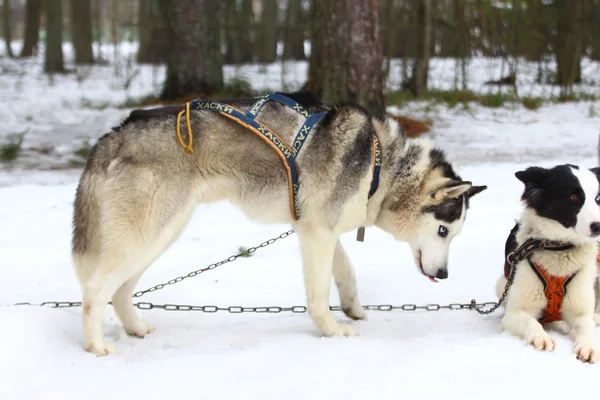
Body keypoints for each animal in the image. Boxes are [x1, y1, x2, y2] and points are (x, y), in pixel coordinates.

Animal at [71, 91, 488, 356]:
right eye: (443, 231)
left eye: (453, 234)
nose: (445, 274)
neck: (381, 165)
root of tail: (116, 132)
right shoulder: (318, 234)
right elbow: (318, 296)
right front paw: (333, 331)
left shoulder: (317, 229)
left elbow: (346, 271)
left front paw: (353, 309)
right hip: (149, 233)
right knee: (94, 291)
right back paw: (96, 345)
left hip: (160, 234)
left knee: (120, 292)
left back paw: (136, 329)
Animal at [496, 164, 600, 364]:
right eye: (573, 196)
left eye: (597, 198)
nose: (598, 226)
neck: (559, 247)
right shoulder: (514, 313)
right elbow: (531, 321)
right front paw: (540, 338)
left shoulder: (580, 312)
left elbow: (587, 326)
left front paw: (588, 347)